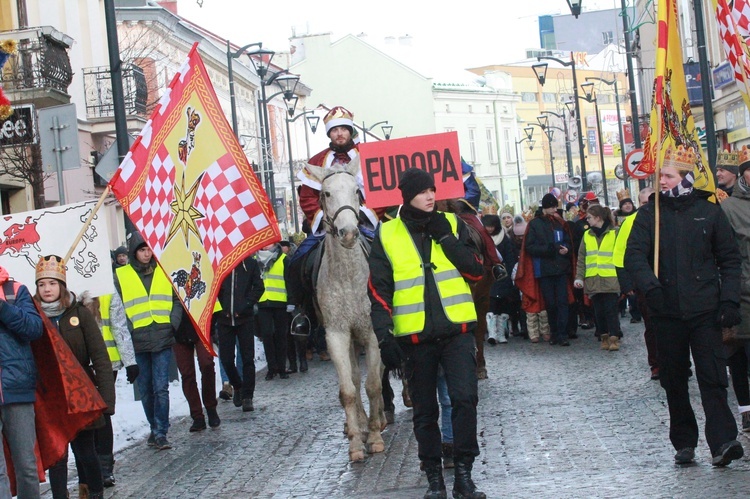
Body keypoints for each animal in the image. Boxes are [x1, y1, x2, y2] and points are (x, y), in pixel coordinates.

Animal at [306, 159, 388, 460]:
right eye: (326, 193)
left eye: (357, 191)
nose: (349, 233)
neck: (348, 278)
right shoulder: (337, 335)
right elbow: (349, 390)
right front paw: (356, 442)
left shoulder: (373, 333)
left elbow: (373, 385)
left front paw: (375, 437)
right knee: (353, 375)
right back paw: (361, 425)